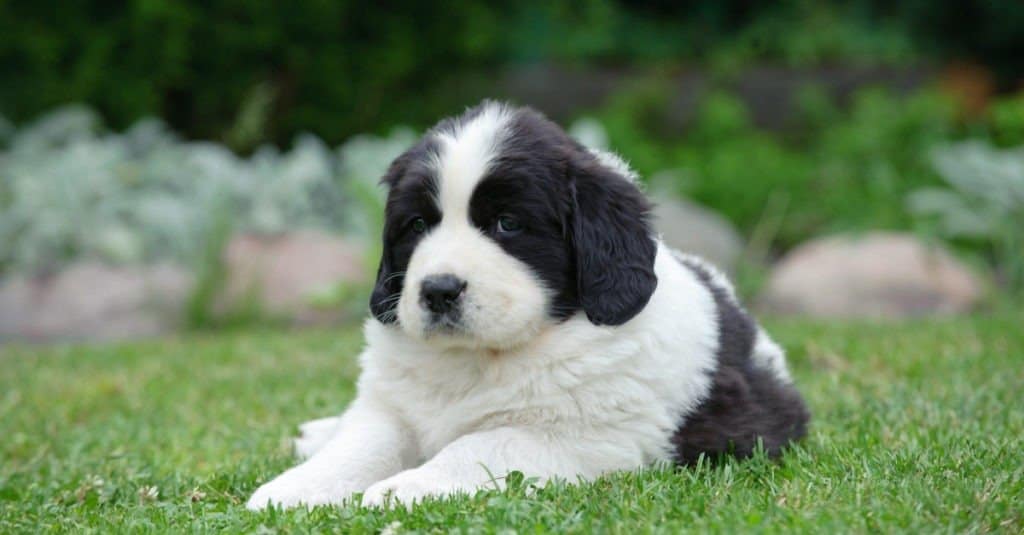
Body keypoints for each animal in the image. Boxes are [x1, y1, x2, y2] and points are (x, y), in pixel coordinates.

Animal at [247, 100, 806, 508]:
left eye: (508, 224)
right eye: (418, 224)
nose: (439, 289)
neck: (482, 358)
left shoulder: (585, 437)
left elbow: (481, 443)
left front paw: (405, 487)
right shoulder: (392, 403)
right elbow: (363, 441)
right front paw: (294, 488)